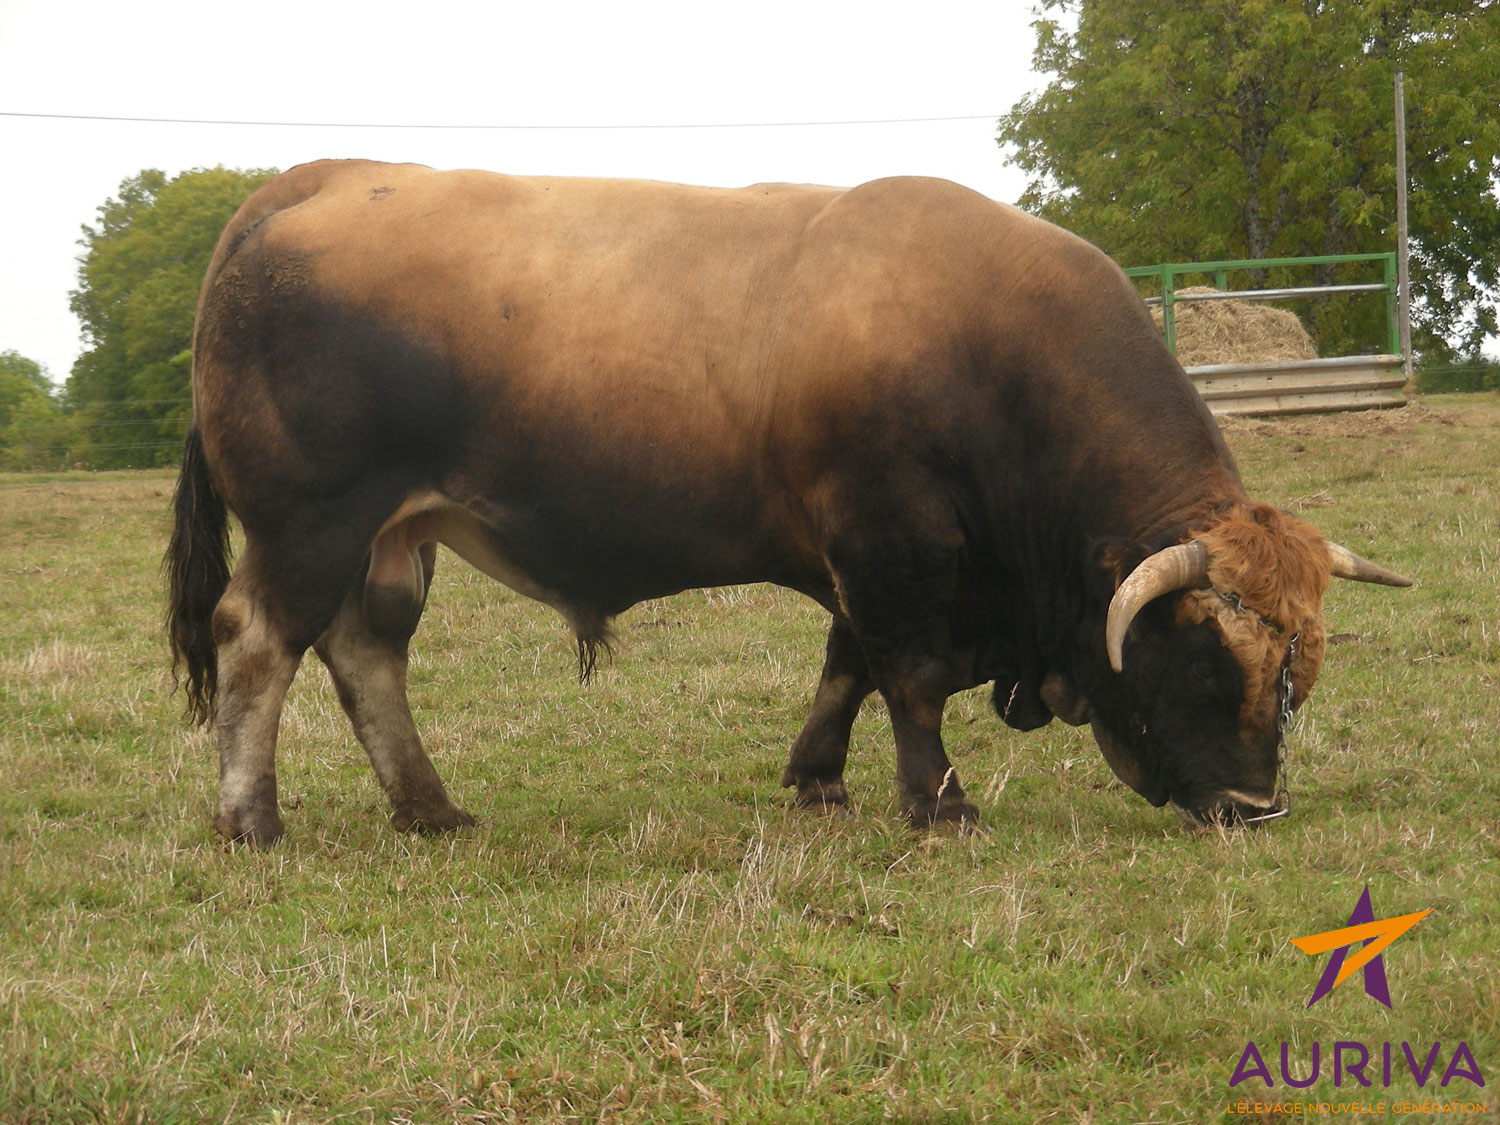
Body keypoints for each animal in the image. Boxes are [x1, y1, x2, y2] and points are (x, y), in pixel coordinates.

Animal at [164, 159, 1404, 846]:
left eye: (1298, 675)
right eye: (1207, 662)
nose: (1255, 810)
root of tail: (311, 181)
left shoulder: (869, 556)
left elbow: (845, 667)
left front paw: (818, 780)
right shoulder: (895, 539)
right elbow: (907, 674)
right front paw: (940, 805)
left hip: (391, 539)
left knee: (365, 653)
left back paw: (429, 809)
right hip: (311, 524)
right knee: (257, 641)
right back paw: (250, 818)